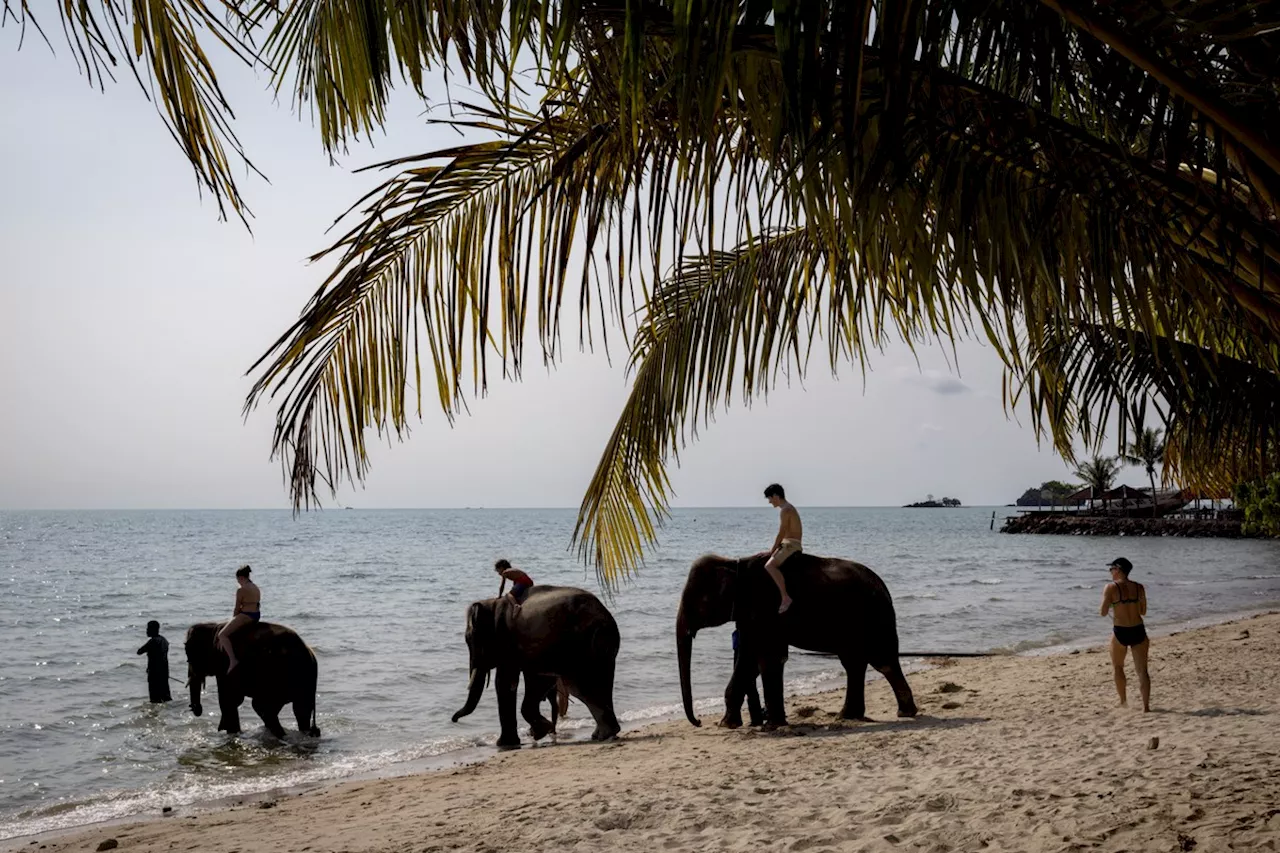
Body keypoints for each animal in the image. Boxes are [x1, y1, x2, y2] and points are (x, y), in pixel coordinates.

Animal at [186, 617, 322, 737]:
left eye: (189, 655)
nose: (197, 709)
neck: (214, 627)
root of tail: (310, 654)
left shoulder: (228, 666)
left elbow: (229, 700)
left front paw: (232, 734)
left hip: (278, 677)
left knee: (262, 707)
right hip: (304, 681)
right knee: (300, 710)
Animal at [453, 584, 622, 742]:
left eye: (469, 639)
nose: (454, 720)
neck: (493, 603)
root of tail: (606, 616)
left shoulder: (508, 639)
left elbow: (504, 683)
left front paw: (511, 741)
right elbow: (533, 680)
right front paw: (538, 732)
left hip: (582, 647)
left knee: (580, 687)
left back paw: (605, 734)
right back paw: (601, 734)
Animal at [675, 550, 916, 722]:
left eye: (696, 602)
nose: (698, 721)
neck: (734, 562)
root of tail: (884, 587)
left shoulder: (765, 609)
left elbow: (759, 657)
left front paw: (728, 724)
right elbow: (761, 658)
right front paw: (769, 723)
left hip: (874, 619)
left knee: (882, 661)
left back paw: (902, 713)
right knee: (854, 663)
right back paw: (850, 716)